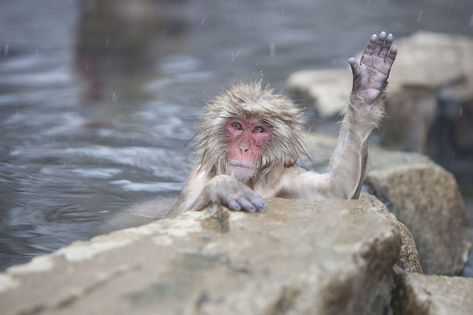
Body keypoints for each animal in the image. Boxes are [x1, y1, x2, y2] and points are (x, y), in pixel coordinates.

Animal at [171, 32, 396, 214]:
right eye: (237, 126)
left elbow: (336, 190)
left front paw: (368, 87)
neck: (250, 181)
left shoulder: (287, 178)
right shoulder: (196, 180)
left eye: (258, 129)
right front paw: (225, 187)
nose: (243, 148)